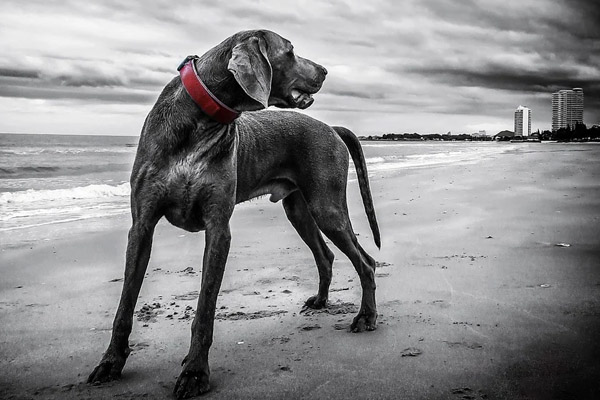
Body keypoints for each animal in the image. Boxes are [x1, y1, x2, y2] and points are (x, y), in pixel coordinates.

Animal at [88, 29, 380, 398]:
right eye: (290, 51)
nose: (325, 71)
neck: (201, 120)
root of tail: (331, 128)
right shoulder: (142, 226)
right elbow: (125, 304)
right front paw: (110, 362)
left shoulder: (218, 229)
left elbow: (205, 308)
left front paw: (195, 373)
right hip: (299, 209)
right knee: (326, 255)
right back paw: (321, 301)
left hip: (326, 206)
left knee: (366, 262)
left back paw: (366, 317)